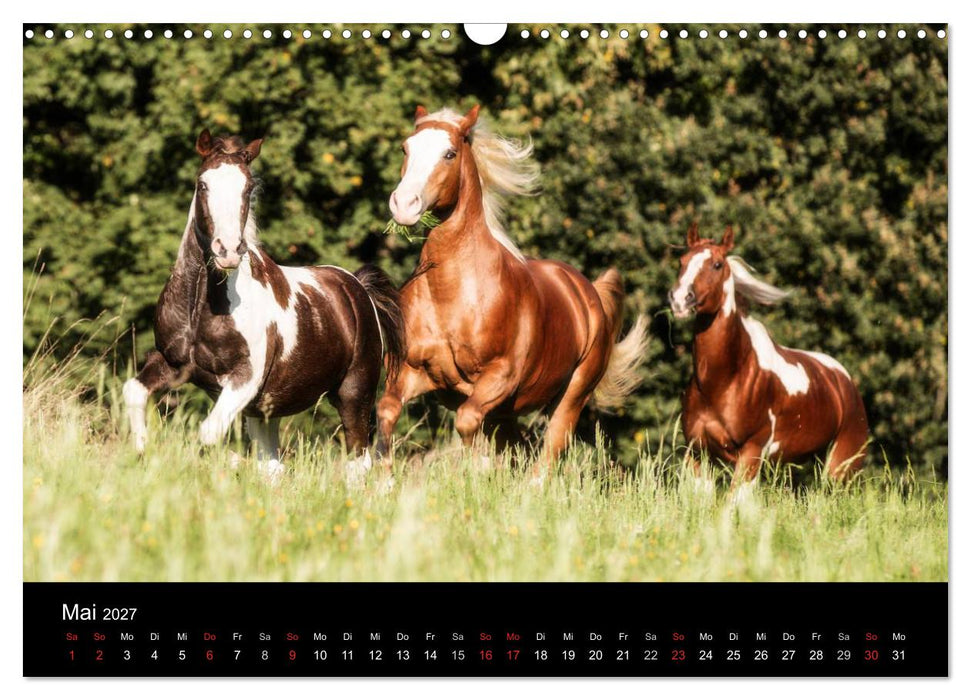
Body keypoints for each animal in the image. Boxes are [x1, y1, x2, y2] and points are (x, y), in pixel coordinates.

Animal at [122, 129, 405, 481]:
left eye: (247, 187)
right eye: (203, 184)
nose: (228, 250)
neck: (200, 308)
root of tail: (357, 288)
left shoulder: (244, 378)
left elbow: (209, 434)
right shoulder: (171, 363)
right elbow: (133, 391)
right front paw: (142, 452)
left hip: (354, 394)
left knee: (358, 461)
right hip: (266, 411)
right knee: (272, 463)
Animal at [376, 105, 648, 477]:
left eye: (450, 153)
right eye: (406, 148)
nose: (404, 204)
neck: (451, 293)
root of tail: (588, 292)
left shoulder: (499, 376)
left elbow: (466, 421)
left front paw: (475, 471)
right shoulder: (414, 371)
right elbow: (387, 410)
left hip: (570, 397)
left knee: (548, 454)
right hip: (506, 413)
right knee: (518, 448)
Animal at [668, 223, 869, 486]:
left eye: (717, 264)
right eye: (681, 261)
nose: (680, 299)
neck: (723, 380)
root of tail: (845, 381)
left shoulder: (751, 452)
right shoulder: (697, 453)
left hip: (841, 468)